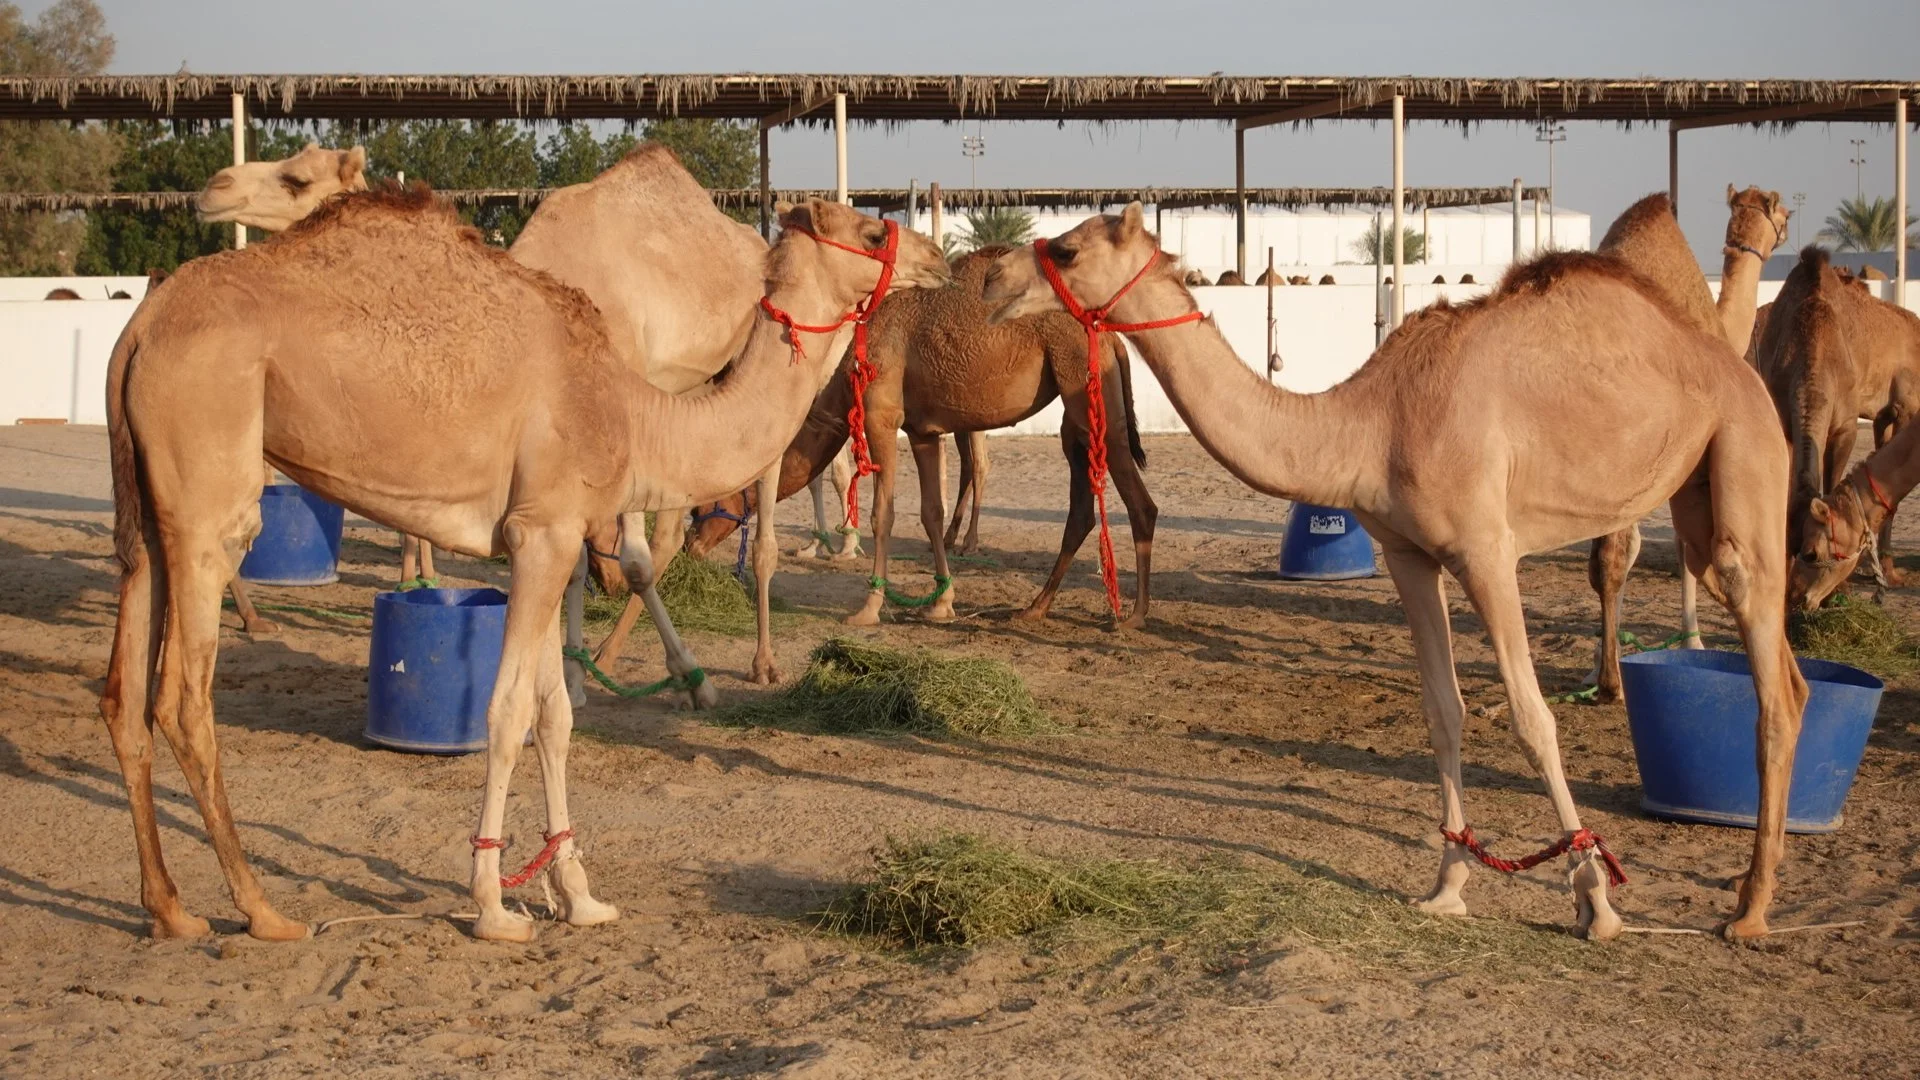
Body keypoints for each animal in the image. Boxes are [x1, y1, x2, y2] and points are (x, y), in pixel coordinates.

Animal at [101, 187, 946, 943]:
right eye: (872, 232)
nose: (937, 259)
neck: (634, 413)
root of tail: (140, 326)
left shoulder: (547, 537)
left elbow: (557, 714)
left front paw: (579, 896)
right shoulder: (542, 534)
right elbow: (507, 712)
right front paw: (493, 905)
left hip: (146, 508)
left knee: (123, 691)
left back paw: (169, 909)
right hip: (209, 490)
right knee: (183, 698)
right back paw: (262, 910)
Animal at [686, 246, 1155, 631]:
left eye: (701, 507)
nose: (691, 546)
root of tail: (1112, 338)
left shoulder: (880, 416)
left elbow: (884, 513)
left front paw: (868, 608)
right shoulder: (922, 432)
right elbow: (931, 512)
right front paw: (941, 603)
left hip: (1086, 390)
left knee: (1140, 503)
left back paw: (1134, 616)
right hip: (1076, 414)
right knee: (1080, 509)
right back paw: (1034, 608)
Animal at [1583, 187, 1790, 701]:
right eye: (1782, 211)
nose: (1786, 226)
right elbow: (1681, 549)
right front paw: (1693, 642)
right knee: (1614, 555)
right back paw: (1613, 682)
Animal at [1756, 246, 1920, 584]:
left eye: (1813, 551)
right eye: (1790, 543)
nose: (1793, 592)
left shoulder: (1848, 425)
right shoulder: (1783, 416)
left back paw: (1888, 567)